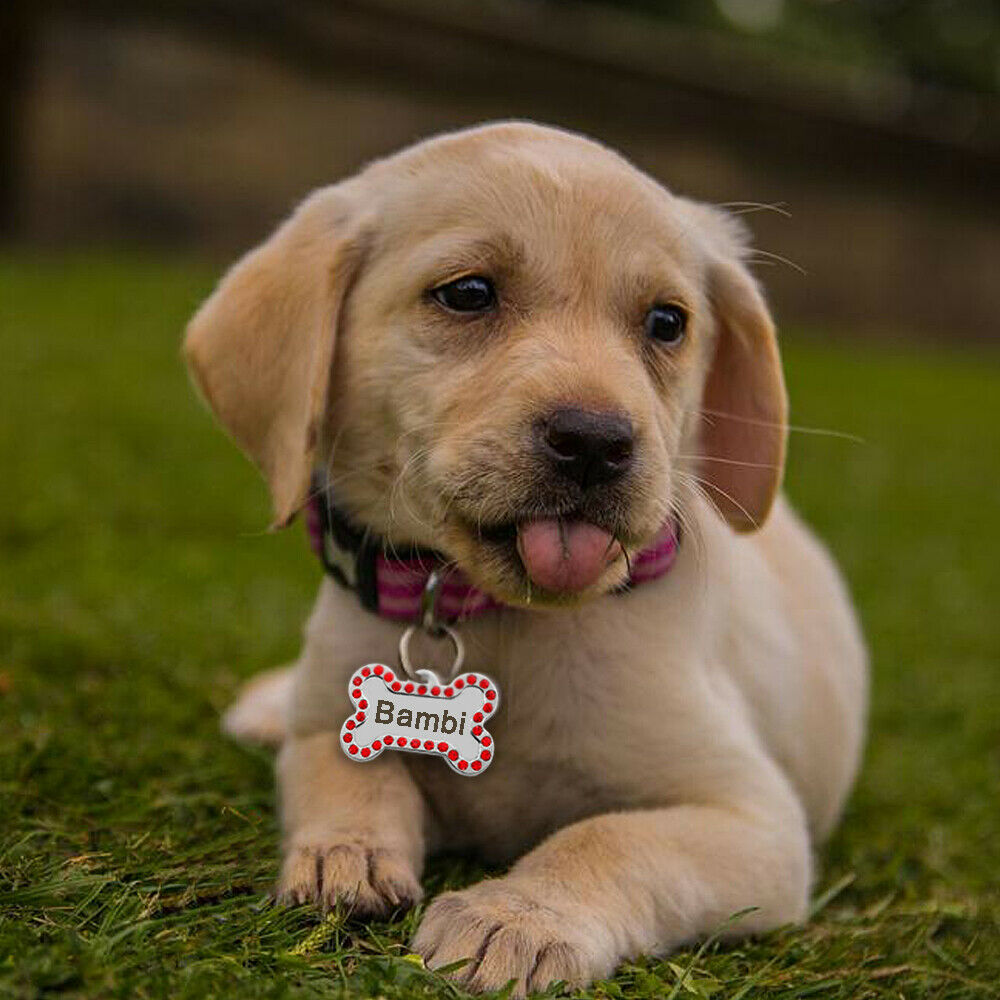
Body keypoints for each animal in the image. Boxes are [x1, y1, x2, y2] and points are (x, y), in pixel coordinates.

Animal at [186, 123, 868, 992]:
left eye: (667, 322)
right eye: (468, 294)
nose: (596, 442)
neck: (498, 620)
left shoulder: (755, 819)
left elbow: (605, 839)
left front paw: (514, 918)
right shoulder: (329, 720)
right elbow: (340, 770)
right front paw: (345, 851)